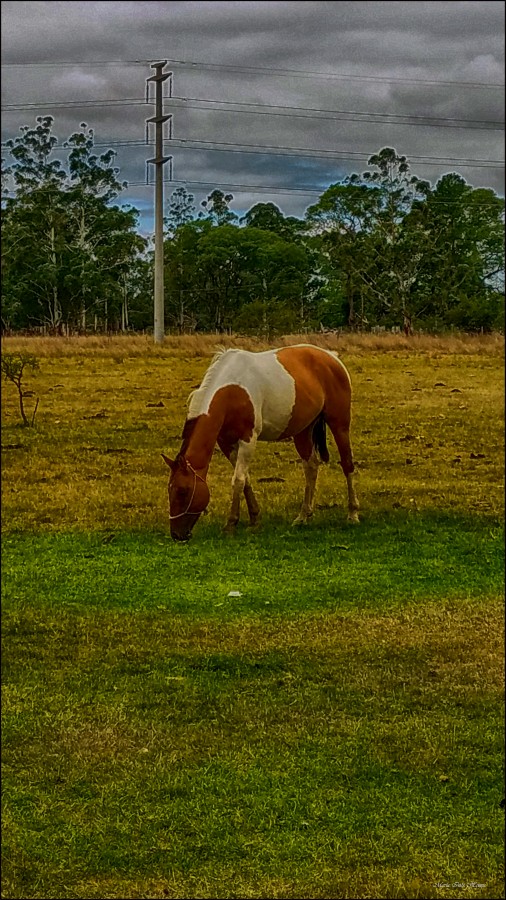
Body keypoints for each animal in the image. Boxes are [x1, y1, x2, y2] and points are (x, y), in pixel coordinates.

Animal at [162, 342, 360, 540]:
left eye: (183, 491)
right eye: (169, 489)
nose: (177, 534)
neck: (232, 391)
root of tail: (331, 357)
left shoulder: (248, 440)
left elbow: (238, 480)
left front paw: (231, 524)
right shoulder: (226, 443)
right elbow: (245, 479)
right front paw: (255, 519)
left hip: (339, 424)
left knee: (347, 464)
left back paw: (352, 513)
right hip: (303, 431)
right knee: (311, 467)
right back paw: (303, 516)